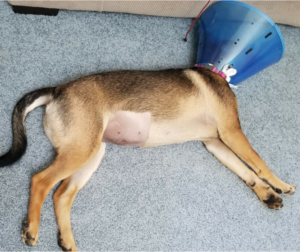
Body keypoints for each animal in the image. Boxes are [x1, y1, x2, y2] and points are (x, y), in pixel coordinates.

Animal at [0, 68, 296, 251]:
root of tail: (57, 89)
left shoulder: (216, 143)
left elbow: (246, 172)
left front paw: (267, 194)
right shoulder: (232, 131)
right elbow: (259, 163)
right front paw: (280, 184)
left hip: (90, 153)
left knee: (61, 194)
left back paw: (67, 241)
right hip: (81, 151)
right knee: (40, 180)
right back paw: (31, 229)